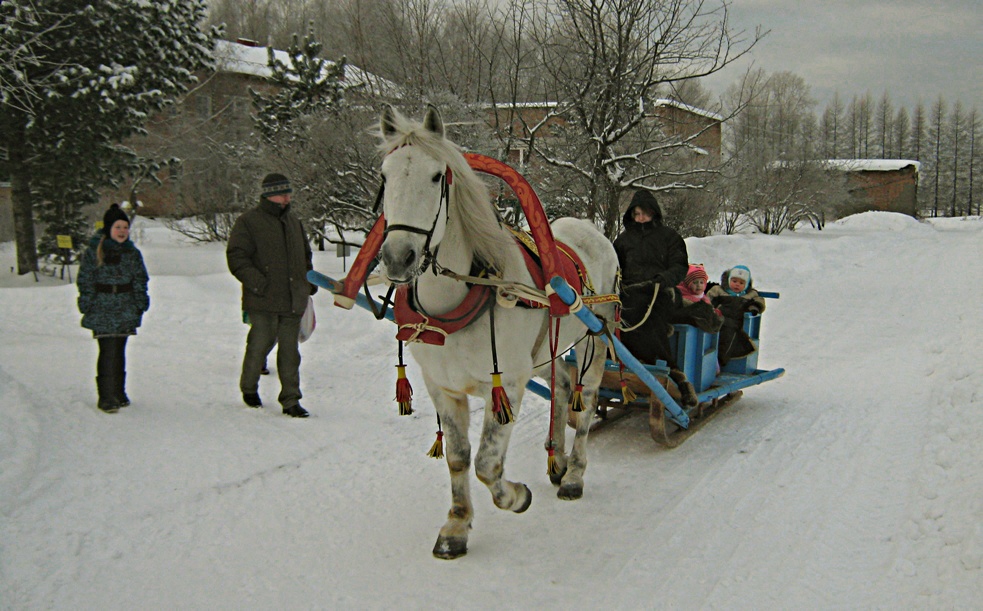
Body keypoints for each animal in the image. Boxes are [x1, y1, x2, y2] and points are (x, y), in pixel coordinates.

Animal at [380, 105, 620, 560]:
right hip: (543, 352)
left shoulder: (506, 384)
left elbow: (487, 463)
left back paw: (574, 474)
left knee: (587, 400)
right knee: (563, 385)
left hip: (596, 338)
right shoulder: (442, 386)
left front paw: (516, 496)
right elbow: (458, 457)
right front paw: (456, 527)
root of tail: (591, 229)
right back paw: (558, 461)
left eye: (437, 176)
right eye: (384, 176)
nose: (398, 257)